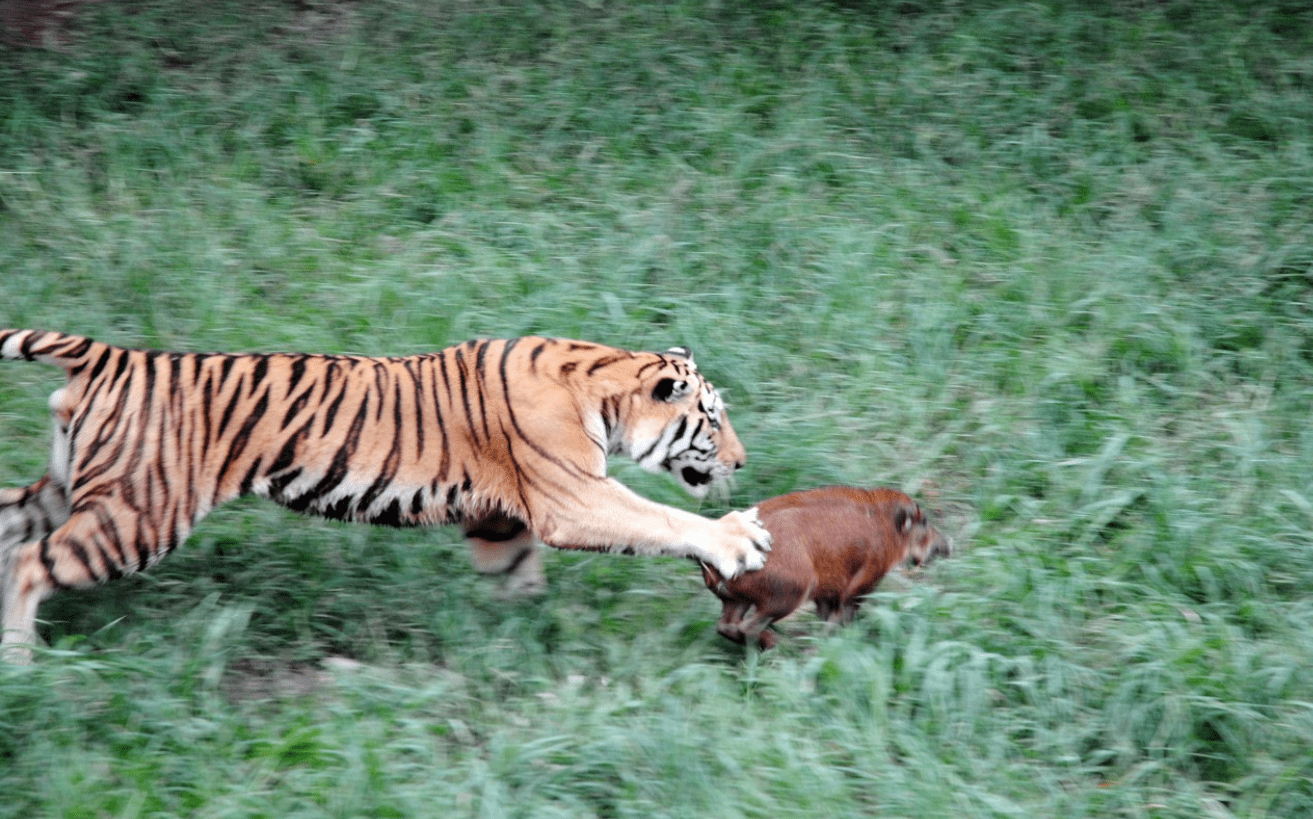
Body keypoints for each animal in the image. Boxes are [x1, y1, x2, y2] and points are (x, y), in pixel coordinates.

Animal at [0, 329, 766, 661]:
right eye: (713, 418)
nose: (742, 458)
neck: (602, 384)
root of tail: (114, 355)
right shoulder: (573, 498)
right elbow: (662, 518)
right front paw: (739, 540)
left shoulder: (499, 518)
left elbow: (518, 579)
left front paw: (533, 633)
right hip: (137, 516)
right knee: (34, 563)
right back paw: (21, 657)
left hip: (72, 489)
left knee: (14, 530)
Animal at [698, 485, 955, 653]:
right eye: (924, 521)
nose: (949, 545)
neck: (884, 525)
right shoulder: (863, 582)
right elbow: (840, 618)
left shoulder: (826, 590)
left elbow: (825, 618)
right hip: (789, 592)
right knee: (747, 627)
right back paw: (780, 647)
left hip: (735, 599)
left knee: (726, 625)